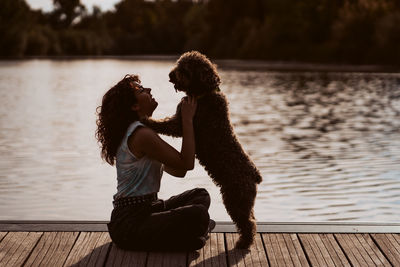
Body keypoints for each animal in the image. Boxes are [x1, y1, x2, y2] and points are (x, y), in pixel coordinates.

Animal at [144, 51, 262, 250]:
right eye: (178, 64)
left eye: (185, 69)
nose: (170, 75)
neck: (204, 93)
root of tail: (254, 174)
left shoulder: (180, 123)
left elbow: (163, 124)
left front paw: (146, 120)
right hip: (244, 202)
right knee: (252, 220)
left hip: (235, 199)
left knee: (248, 224)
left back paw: (243, 243)